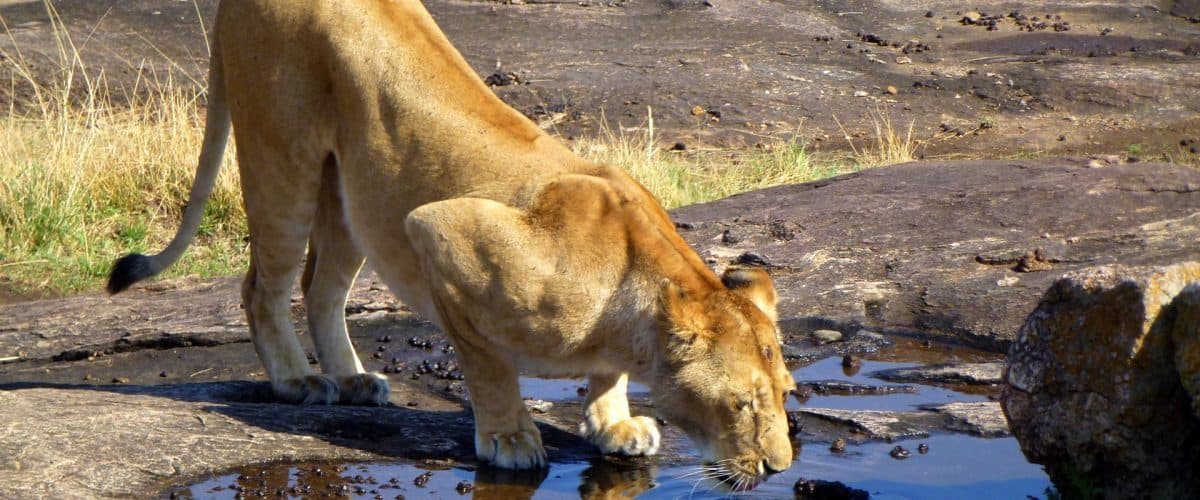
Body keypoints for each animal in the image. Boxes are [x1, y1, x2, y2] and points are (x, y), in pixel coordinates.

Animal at [107, 0, 794, 484]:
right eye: (741, 404)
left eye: (786, 394)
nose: (778, 468)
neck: (627, 306)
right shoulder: (441, 232)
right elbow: (488, 365)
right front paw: (511, 438)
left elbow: (606, 376)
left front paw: (615, 424)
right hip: (283, 152)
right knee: (263, 288)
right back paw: (299, 382)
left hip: (356, 192)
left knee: (319, 287)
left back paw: (353, 380)